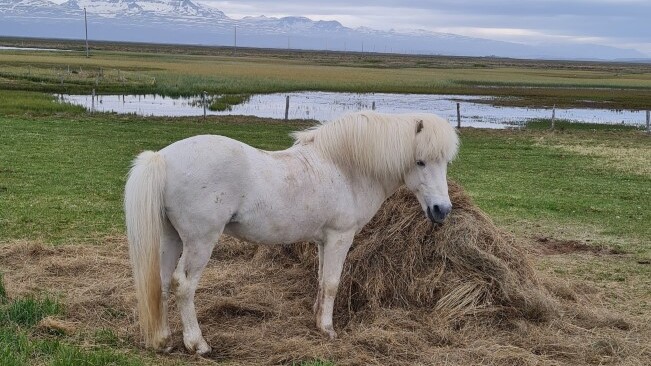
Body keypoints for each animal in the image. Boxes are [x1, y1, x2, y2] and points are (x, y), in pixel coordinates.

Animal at [125, 110, 460, 354]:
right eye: (420, 161)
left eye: (444, 162)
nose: (442, 210)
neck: (344, 168)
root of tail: (162, 158)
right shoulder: (340, 237)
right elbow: (332, 283)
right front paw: (328, 329)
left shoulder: (325, 240)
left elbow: (321, 280)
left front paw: (317, 320)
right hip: (200, 242)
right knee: (183, 285)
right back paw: (197, 344)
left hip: (171, 238)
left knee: (161, 283)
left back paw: (164, 340)